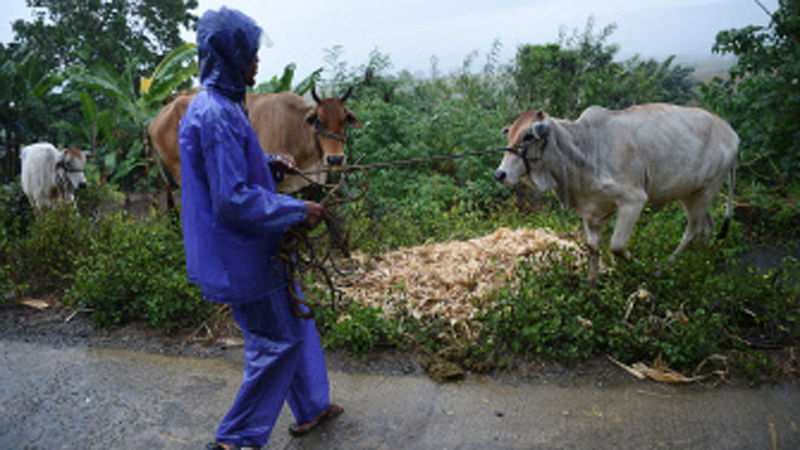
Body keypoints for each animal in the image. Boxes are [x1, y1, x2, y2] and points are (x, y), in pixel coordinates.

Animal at [494, 104, 736, 282]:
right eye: (510, 136)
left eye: (528, 136)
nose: (500, 174)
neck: (585, 149)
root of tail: (730, 132)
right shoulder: (590, 210)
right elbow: (593, 247)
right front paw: (591, 285)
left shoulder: (633, 200)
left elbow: (617, 246)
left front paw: (641, 267)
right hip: (693, 194)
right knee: (706, 227)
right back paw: (701, 260)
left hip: (706, 190)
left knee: (693, 230)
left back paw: (666, 266)